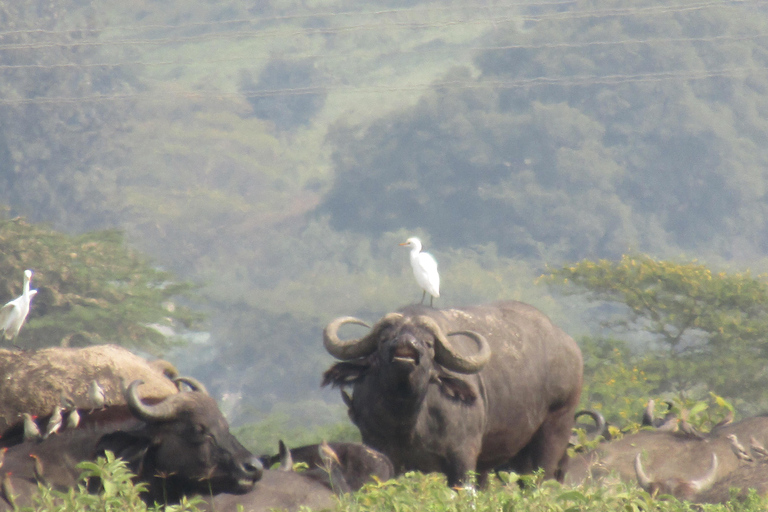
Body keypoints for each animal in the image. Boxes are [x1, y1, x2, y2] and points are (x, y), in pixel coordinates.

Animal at [322, 302, 584, 486]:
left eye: (428, 343)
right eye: (385, 338)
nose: (406, 344)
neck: (408, 420)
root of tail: (570, 347)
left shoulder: (463, 457)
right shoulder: (380, 450)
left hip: (556, 429)